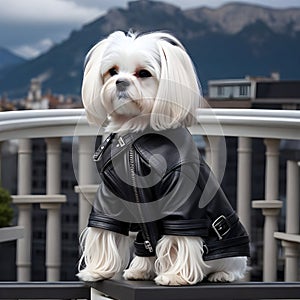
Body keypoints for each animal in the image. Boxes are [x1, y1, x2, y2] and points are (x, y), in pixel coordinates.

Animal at [77, 30, 248, 286]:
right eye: (112, 71)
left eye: (143, 74)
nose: (120, 82)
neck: (135, 137)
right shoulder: (109, 195)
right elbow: (104, 228)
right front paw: (97, 270)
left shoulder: (182, 198)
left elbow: (180, 238)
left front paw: (175, 275)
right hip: (143, 238)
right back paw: (140, 269)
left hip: (230, 250)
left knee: (229, 264)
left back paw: (221, 274)